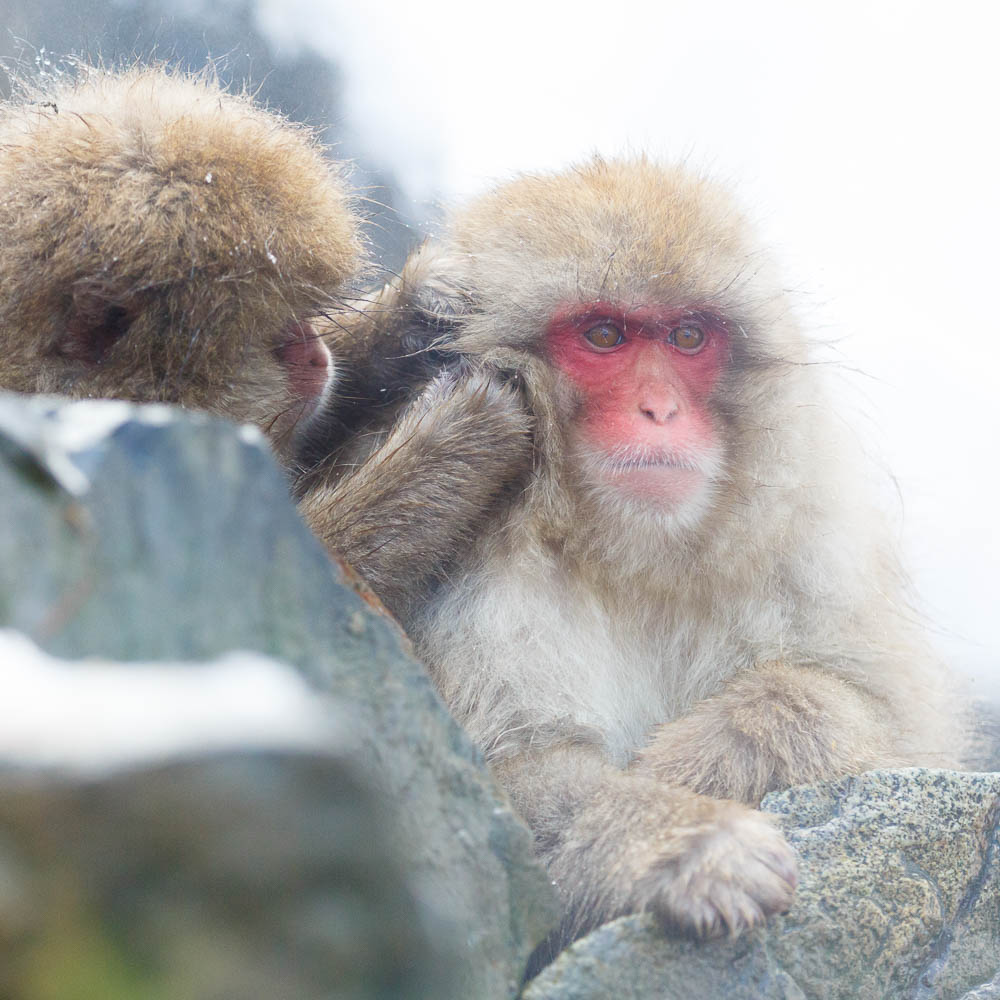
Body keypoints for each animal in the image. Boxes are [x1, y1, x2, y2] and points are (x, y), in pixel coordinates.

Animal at [316, 158, 964, 944]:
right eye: (603, 335)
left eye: (687, 337)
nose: (661, 410)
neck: (630, 554)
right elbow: (500, 787)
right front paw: (684, 842)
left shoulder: (812, 536)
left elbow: (870, 711)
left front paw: (704, 763)